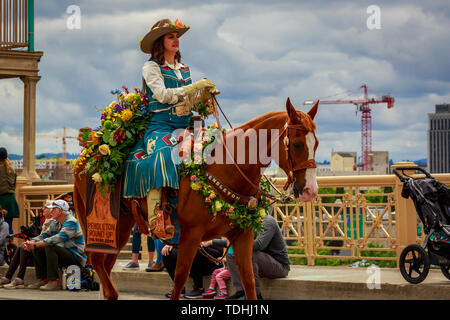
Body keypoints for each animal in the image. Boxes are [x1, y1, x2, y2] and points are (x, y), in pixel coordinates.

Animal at [74, 97, 318, 300]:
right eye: (297, 144)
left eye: (315, 144)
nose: (310, 190)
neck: (225, 168)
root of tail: (88, 154)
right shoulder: (190, 236)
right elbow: (180, 279)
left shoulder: (242, 236)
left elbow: (249, 282)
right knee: (96, 261)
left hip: (122, 224)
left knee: (104, 263)